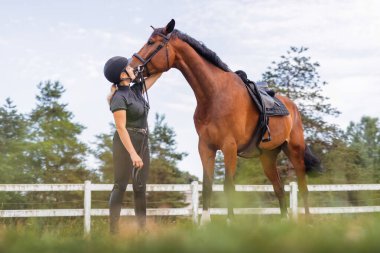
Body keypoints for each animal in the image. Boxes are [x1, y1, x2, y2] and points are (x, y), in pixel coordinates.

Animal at [126, 18, 322, 222]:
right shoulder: (206, 147)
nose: (130, 68)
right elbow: (207, 186)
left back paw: (308, 222)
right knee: (279, 188)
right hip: (268, 157)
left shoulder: (229, 147)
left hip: (295, 151)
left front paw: (230, 222)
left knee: (303, 187)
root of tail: (292, 107)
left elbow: (229, 187)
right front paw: (205, 223)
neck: (214, 95)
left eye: (151, 43)